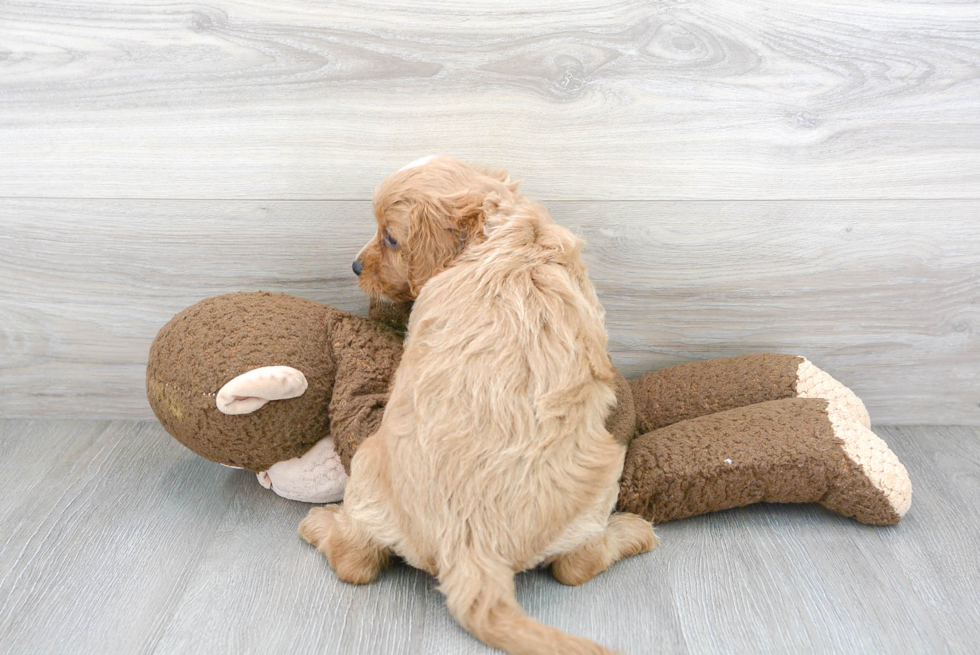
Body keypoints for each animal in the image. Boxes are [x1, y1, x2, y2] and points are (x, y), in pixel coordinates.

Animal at [294, 156, 656, 652]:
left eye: (391, 238)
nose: (353, 266)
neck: (503, 233)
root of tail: (471, 546)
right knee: (573, 566)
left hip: (369, 461)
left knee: (355, 561)